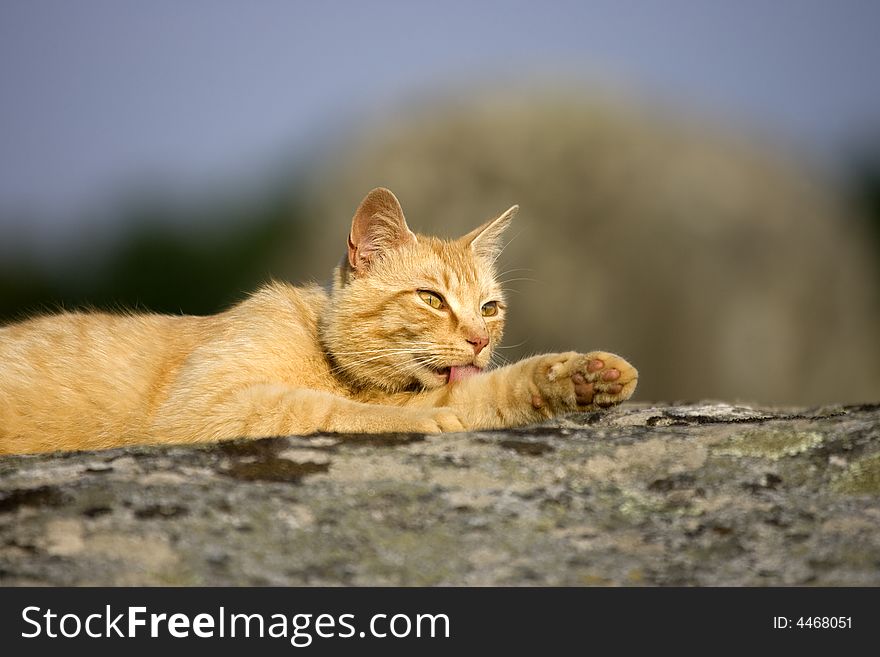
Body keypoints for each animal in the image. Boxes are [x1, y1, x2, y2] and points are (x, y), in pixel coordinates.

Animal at [0, 190, 632, 454]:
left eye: (489, 309)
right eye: (431, 299)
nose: (478, 341)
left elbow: (482, 395)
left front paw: (581, 376)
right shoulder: (202, 408)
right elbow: (324, 411)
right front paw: (414, 423)